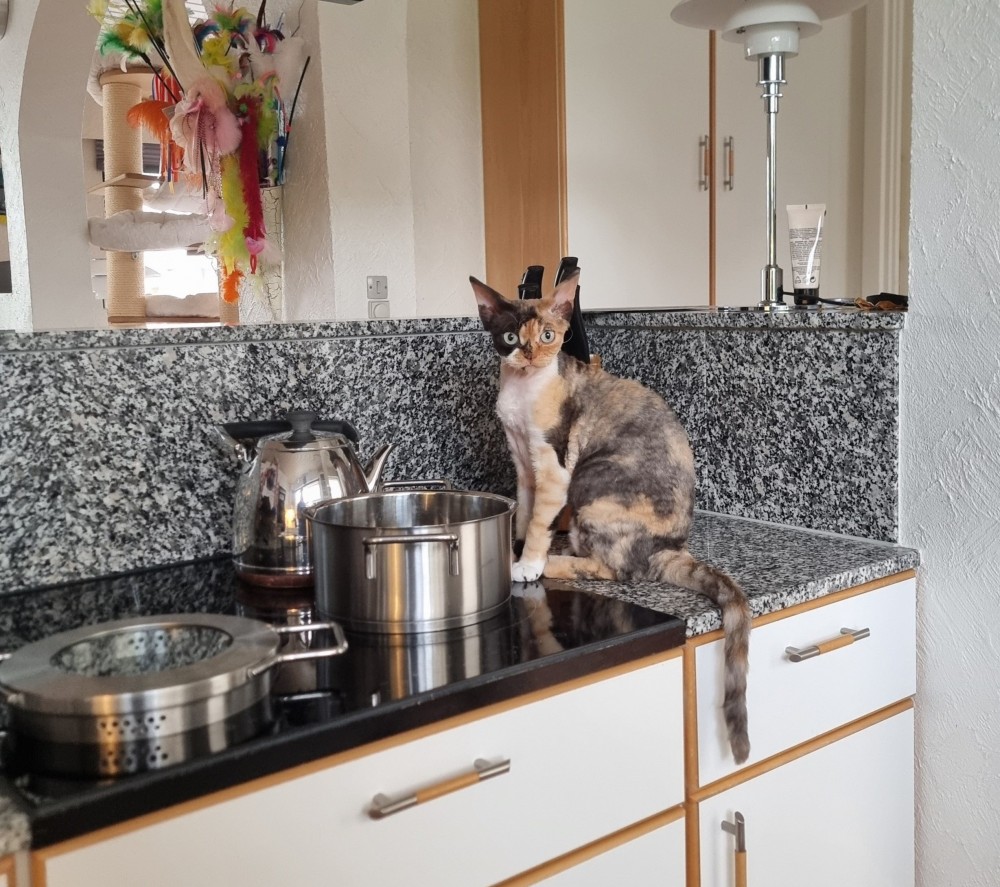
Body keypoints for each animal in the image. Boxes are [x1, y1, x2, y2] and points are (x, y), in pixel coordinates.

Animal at [471, 270, 752, 764]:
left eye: (549, 336)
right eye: (510, 337)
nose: (532, 354)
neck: (522, 393)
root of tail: (670, 547)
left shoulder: (553, 466)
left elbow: (540, 522)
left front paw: (527, 564)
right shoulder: (522, 464)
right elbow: (523, 514)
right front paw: (516, 548)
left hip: (591, 481)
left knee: (616, 571)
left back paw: (555, 563)